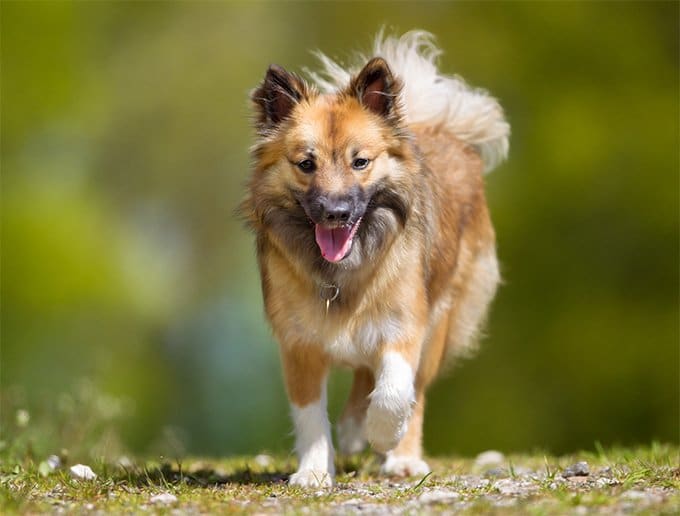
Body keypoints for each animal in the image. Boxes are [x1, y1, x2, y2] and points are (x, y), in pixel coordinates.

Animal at [240, 30, 510, 486]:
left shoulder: (405, 325)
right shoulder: (298, 344)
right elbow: (310, 415)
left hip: (442, 318)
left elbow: (394, 392)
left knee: (412, 391)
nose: (335, 212)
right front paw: (315, 471)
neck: (340, 275)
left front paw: (384, 435)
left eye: (360, 162)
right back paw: (352, 431)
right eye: (306, 164)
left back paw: (399, 456)